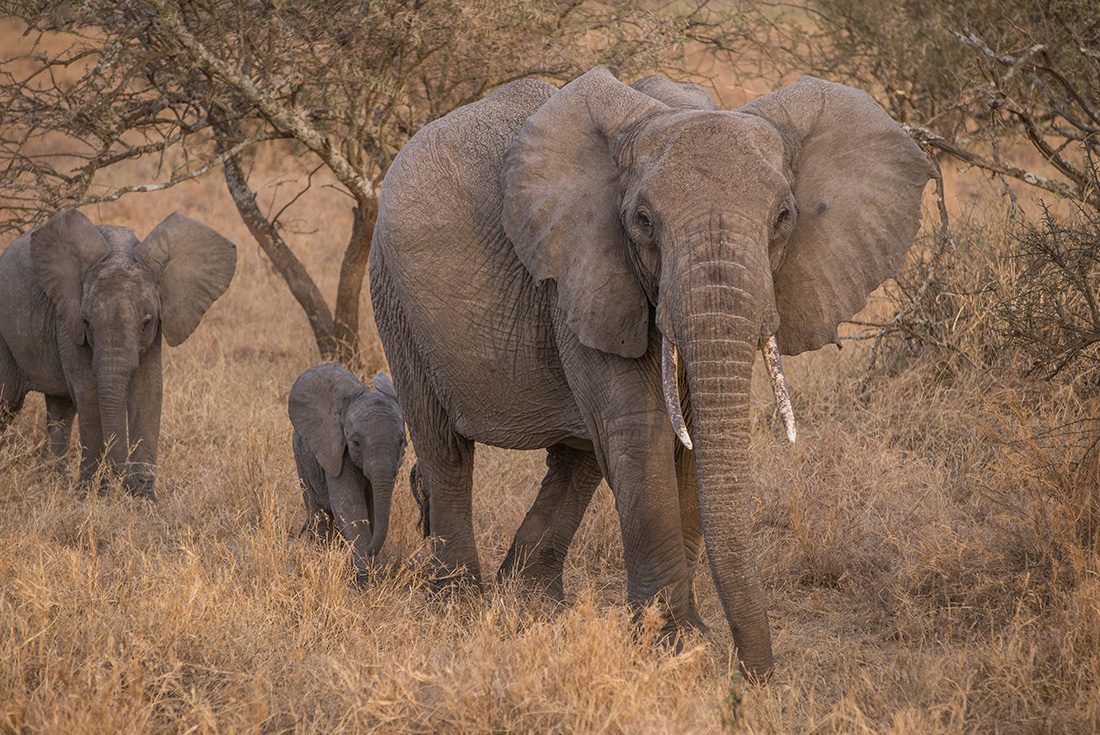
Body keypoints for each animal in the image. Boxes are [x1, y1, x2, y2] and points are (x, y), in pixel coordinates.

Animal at [0, 209, 236, 497]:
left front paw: (144, 499)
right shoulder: (67, 320)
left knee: (60, 409)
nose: (133, 484)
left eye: (146, 322)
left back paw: (53, 482)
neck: (119, 251)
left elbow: (148, 391)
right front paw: (94, 495)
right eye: (87, 323)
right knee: (8, 400)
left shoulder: (155, 330)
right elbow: (90, 393)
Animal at [290, 365, 411, 576]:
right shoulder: (336, 451)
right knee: (317, 511)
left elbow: (372, 506)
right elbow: (349, 504)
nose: (372, 550)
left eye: (402, 441)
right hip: (301, 459)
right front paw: (369, 574)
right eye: (355, 442)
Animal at [367, 68, 928, 677]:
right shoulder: (583, 272)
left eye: (784, 217)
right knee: (446, 448)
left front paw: (690, 638)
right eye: (642, 221)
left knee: (578, 458)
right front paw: (674, 646)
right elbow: (644, 435)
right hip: (396, 301)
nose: (754, 674)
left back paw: (528, 605)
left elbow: (688, 443)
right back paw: (460, 606)